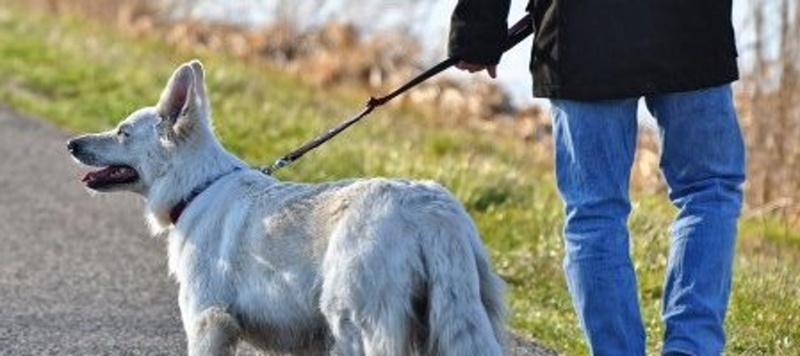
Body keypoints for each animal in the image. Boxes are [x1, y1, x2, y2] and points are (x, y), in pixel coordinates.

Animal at [69, 59, 506, 354]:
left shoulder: (207, 321)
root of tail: (430, 212)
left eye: (123, 132)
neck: (197, 187)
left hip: (354, 324)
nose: (71, 143)